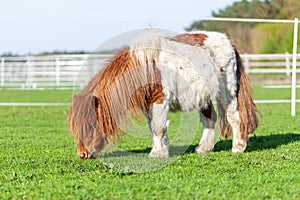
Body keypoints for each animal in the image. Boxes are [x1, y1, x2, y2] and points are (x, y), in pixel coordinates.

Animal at [67, 30, 258, 159]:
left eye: (91, 125)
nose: (82, 154)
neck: (144, 68)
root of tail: (229, 43)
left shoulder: (159, 100)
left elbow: (159, 127)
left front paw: (157, 153)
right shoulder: (148, 105)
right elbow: (154, 128)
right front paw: (162, 150)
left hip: (228, 93)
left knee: (234, 117)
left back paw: (238, 147)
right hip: (203, 97)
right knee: (209, 119)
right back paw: (203, 148)